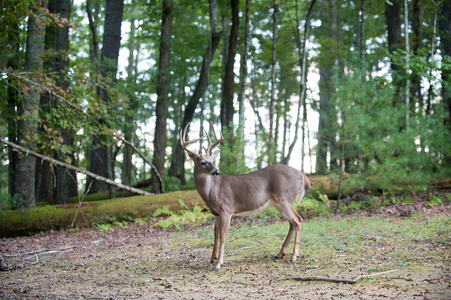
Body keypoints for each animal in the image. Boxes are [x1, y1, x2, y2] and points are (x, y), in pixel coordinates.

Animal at [180, 120, 310, 270]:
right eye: (202, 162)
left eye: (212, 161)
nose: (216, 171)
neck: (212, 191)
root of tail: (304, 176)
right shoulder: (216, 213)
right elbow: (215, 234)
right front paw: (212, 258)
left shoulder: (226, 209)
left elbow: (223, 236)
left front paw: (218, 264)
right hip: (279, 203)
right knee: (292, 222)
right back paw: (279, 254)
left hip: (285, 198)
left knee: (298, 220)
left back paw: (293, 257)